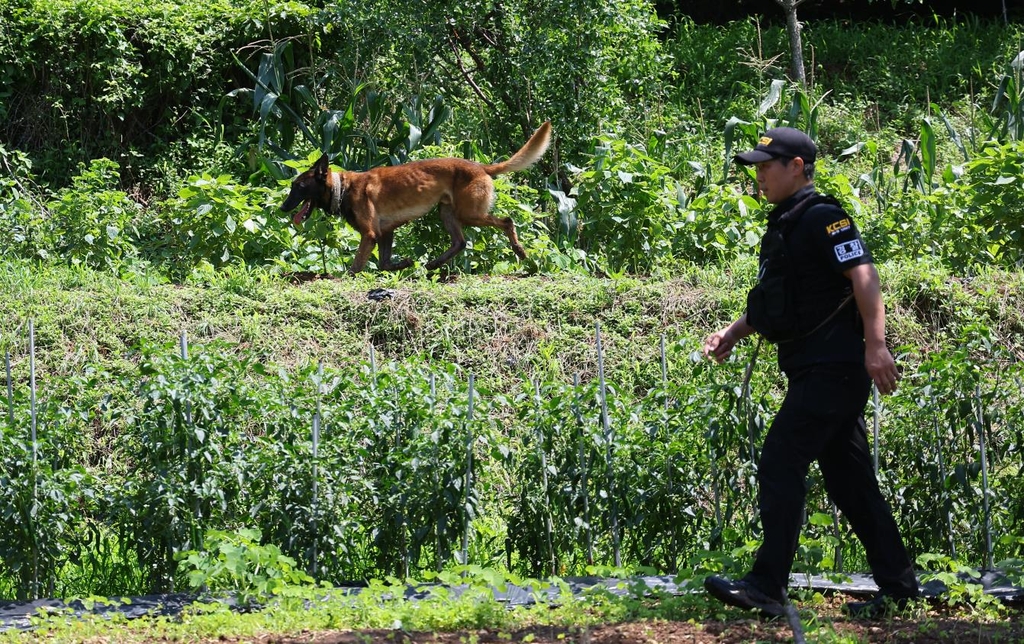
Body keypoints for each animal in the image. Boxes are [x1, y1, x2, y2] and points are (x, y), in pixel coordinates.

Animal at [280, 121, 552, 272]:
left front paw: (348, 276)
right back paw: (434, 264)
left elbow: (357, 266)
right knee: (460, 242)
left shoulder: (370, 235)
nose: (283, 208)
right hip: (447, 212)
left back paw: (520, 251)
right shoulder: (385, 232)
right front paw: (403, 264)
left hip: (469, 213)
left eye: (299, 186)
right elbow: (384, 263)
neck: (343, 188)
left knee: (506, 221)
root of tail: (481, 167)